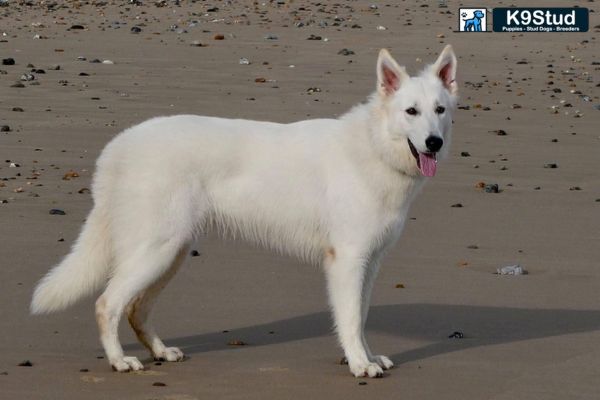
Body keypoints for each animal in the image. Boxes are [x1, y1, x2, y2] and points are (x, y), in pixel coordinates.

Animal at [30, 46, 458, 378]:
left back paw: (160, 352)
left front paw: (367, 357)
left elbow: (362, 317)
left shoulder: (369, 264)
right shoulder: (348, 261)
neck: (373, 147)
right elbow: (351, 320)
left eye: (439, 110)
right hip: (155, 251)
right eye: (411, 112)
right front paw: (358, 365)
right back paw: (120, 361)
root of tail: (117, 146)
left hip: (170, 254)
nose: (434, 143)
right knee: (108, 304)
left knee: (136, 309)